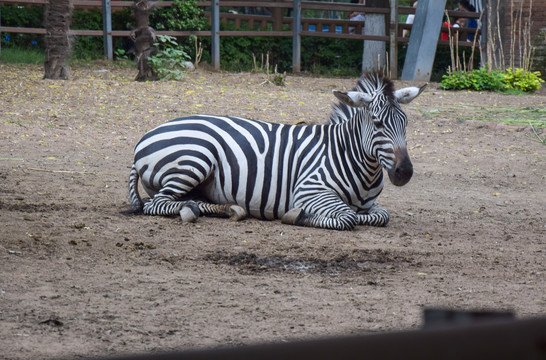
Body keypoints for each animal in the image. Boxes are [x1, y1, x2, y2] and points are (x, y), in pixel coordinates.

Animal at [129, 73, 424, 231]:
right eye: (378, 123)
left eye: (406, 122)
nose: (405, 172)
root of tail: (145, 135)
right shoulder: (308, 190)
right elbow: (348, 217)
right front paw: (299, 216)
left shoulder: (370, 205)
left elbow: (381, 216)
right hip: (195, 158)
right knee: (156, 204)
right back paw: (191, 210)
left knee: (184, 200)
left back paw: (227, 209)